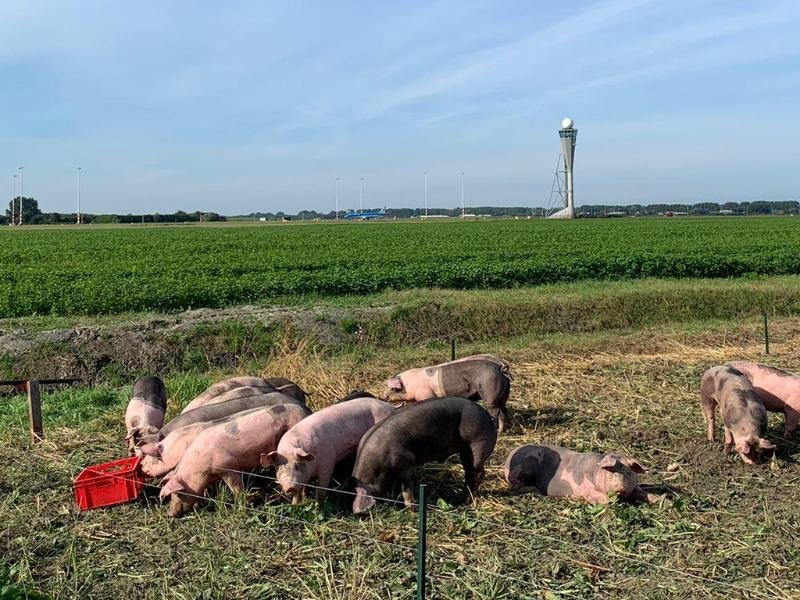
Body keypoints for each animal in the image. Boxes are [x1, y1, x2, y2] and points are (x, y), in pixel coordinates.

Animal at [159, 404, 310, 516]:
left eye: (177, 493)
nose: (169, 514)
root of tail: (305, 411)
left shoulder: (227, 467)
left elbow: (236, 487)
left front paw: (247, 502)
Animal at [260, 396, 396, 504]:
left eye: (297, 465)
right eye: (278, 468)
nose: (289, 488)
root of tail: (390, 407)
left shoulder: (328, 462)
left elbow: (321, 489)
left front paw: (317, 508)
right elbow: (301, 491)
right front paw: (296, 504)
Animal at [506, 442, 648, 504]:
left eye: (629, 472)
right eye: (611, 470)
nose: (620, 488)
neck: (595, 472)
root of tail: (508, 457)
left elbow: (643, 493)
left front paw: (653, 500)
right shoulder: (587, 489)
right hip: (525, 468)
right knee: (516, 485)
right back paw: (536, 491)